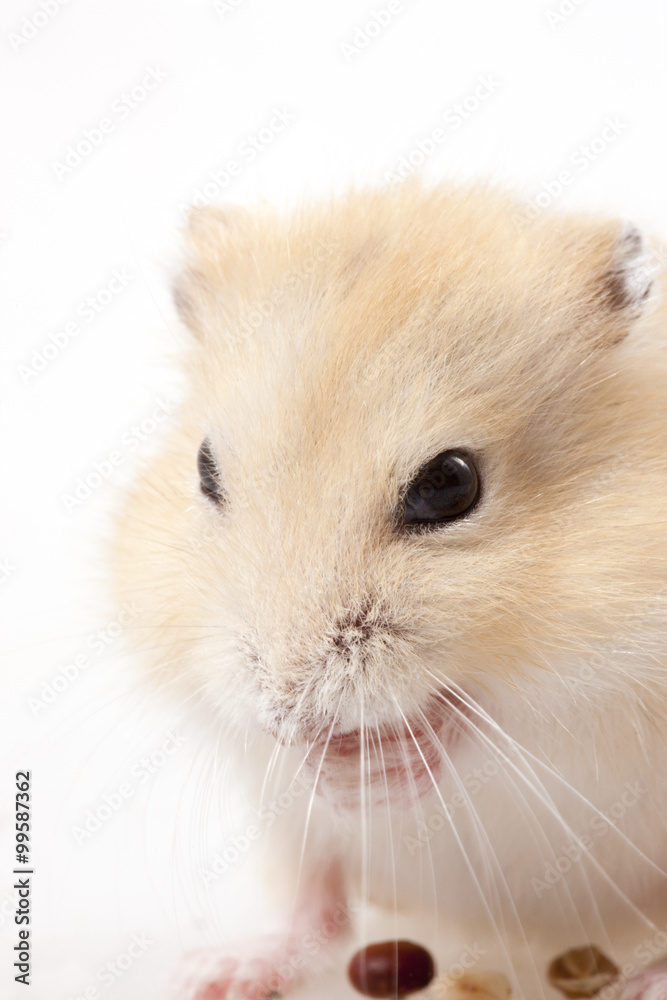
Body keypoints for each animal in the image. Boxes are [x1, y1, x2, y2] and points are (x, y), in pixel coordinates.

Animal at [113, 182, 667, 1000]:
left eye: (449, 484)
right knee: (318, 905)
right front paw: (320, 762)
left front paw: (378, 761)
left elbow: (478, 716)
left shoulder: (606, 679)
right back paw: (222, 971)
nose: (288, 713)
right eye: (205, 469)